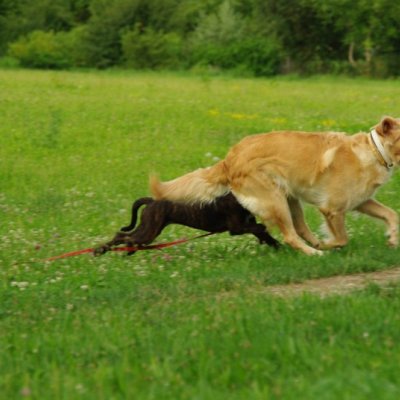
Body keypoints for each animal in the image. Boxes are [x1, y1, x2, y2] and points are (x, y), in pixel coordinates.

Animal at [93, 193, 280, 256]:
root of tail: (151, 200)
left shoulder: (246, 224)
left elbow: (265, 235)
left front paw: (280, 248)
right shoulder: (237, 227)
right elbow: (260, 228)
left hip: (149, 227)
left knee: (126, 237)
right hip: (149, 230)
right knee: (123, 236)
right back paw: (101, 251)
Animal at [150, 116, 400, 255]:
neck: (374, 151)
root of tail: (230, 159)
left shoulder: (360, 201)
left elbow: (391, 214)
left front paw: (393, 239)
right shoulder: (332, 208)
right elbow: (341, 239)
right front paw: (329, 245)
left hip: (290, 198)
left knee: (299, 229)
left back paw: (313, 245)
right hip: (275, 200)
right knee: (290, 235)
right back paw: (314, 252)